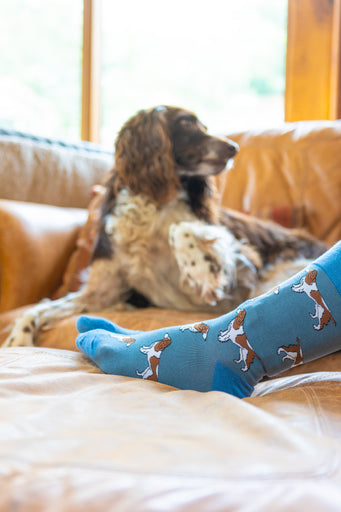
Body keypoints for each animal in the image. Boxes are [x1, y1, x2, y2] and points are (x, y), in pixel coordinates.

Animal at [1, 106, 326, 350]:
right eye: (187, 123)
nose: (234, 148)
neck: (152, 204)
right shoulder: (102, 292)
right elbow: (36, 308)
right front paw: (17, 341)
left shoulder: (244, 266)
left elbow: (181, 229)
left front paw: (199, 269)